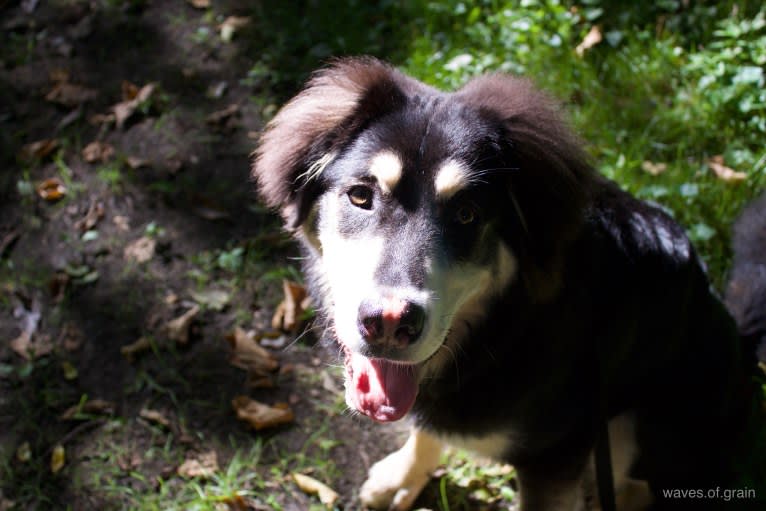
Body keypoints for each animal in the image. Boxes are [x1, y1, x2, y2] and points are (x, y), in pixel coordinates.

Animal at [254, 58, 766, 510]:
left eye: (467, 215)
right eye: (361, 196)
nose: (390, 323)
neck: (501, 328)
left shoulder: (557, 453)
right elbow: (425, 426)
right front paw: (402, 478)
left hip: (640, 429)